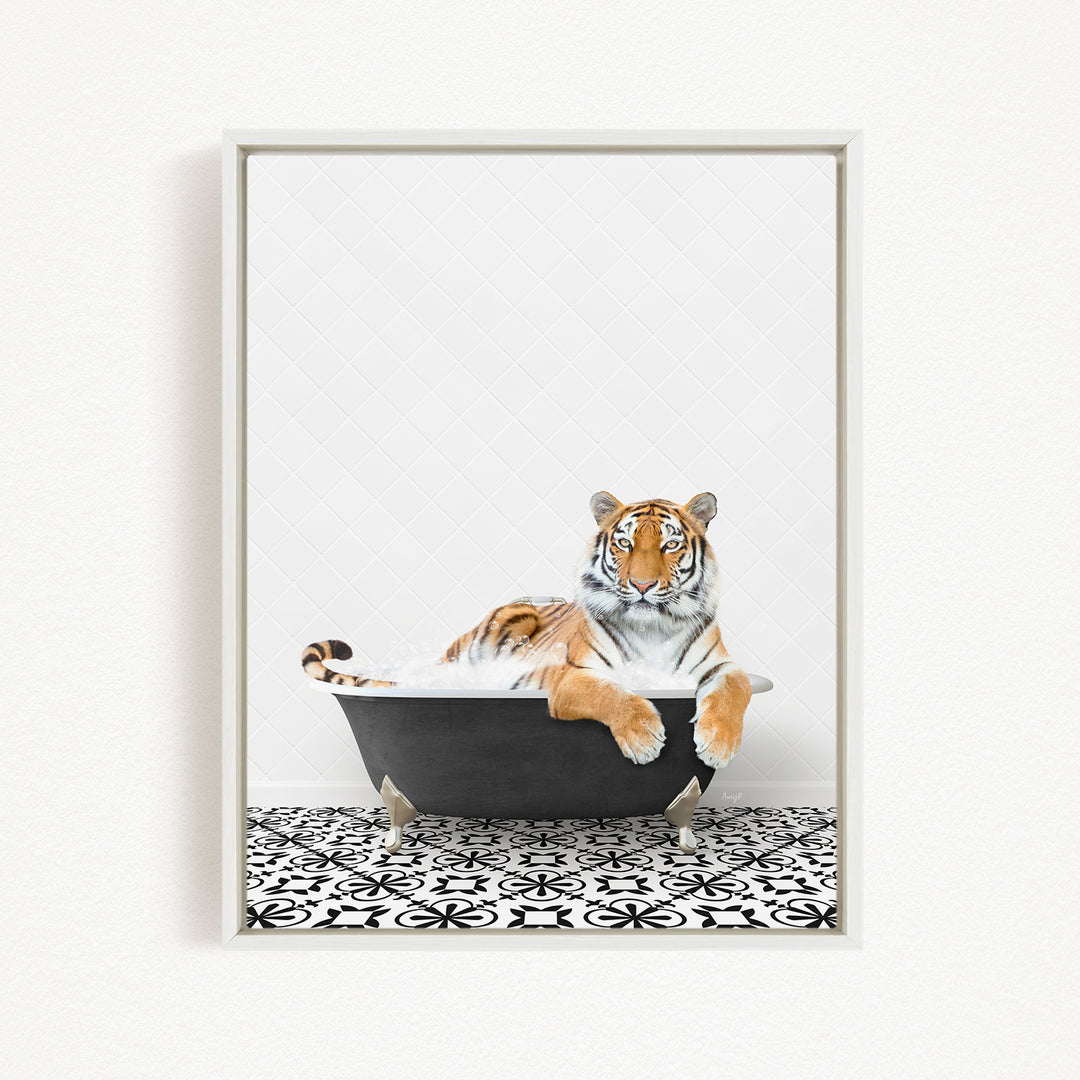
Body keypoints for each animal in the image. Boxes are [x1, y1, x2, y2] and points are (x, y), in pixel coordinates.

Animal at [302, 491, 751, 769]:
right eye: (624, 544)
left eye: (669, 545)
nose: (642, 586)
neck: (651, 627)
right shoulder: (573, 678)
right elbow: (611, 694)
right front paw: (643, 737)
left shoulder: (720, 667)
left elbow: (737, 687)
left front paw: (718, 744)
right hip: (509, 619)